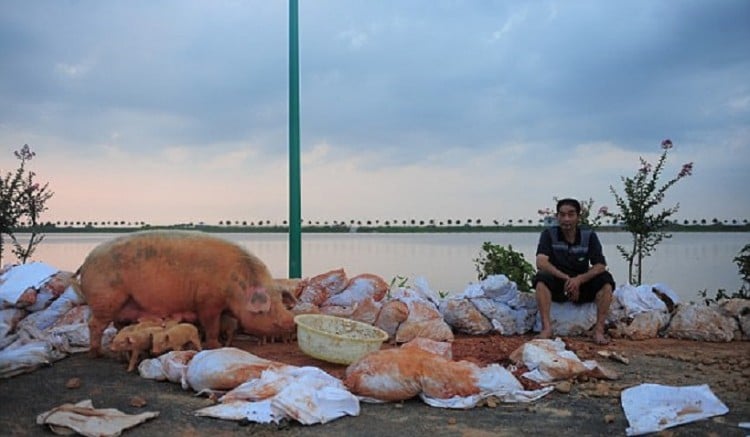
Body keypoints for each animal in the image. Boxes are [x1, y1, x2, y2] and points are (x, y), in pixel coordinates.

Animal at [78, 230, 296, 352]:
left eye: (280, 300)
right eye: (269, 307)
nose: (291, 320)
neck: (235, 287)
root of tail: (86, 261)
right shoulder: (208, 302)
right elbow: (212, 326)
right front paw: (215, 346)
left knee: (115, 324)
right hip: (105, 299)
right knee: (94, 324)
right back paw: (97, 353)